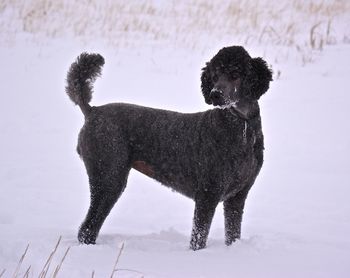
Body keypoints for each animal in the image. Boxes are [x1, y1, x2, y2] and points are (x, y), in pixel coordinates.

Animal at [66, 45, 274, 250]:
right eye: (215, 76)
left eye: (235, 74)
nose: (215, 94)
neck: (241, 126)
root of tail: (92, 111)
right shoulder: (207, 194)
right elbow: (199, 238)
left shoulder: (237, 197)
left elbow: (232, 234)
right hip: (109, 177)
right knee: (87, 228)